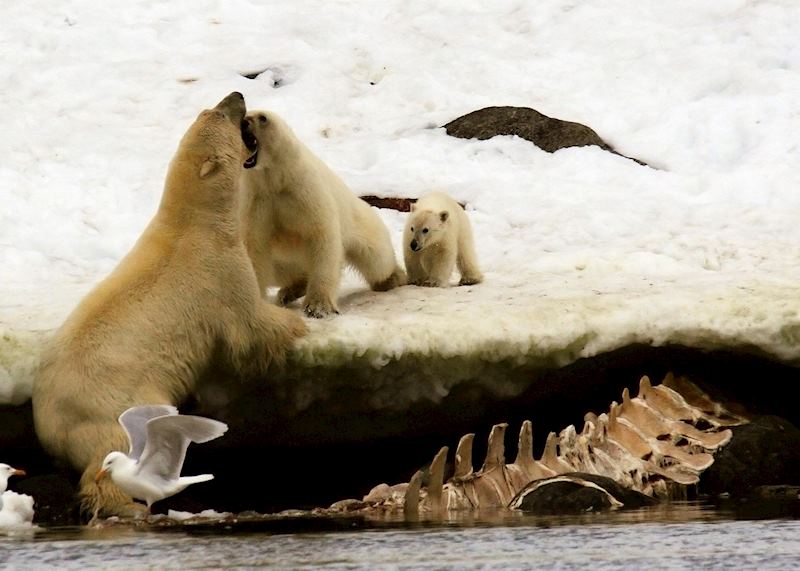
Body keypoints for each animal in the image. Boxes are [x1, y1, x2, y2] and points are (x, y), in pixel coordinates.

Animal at [31, 92, 307, 518]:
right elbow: (251, 323)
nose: (238, 95)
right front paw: (298, 323)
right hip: (113, 406)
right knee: (113, 451)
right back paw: (123, 503)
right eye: (222, 115)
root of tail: (49, 424)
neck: (193, 221)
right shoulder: (220, 269)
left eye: (210, 109)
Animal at [239, 110, 406, 318]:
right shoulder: (257, 202)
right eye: (244, 115)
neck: (276, 179)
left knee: (377, 260)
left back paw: (393, 278)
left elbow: (321, 237)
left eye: (262, 118)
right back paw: (289, 291)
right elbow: (254, 247)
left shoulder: (305, 191)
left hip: (363, 224)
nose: (243, 123)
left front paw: (318, 307)